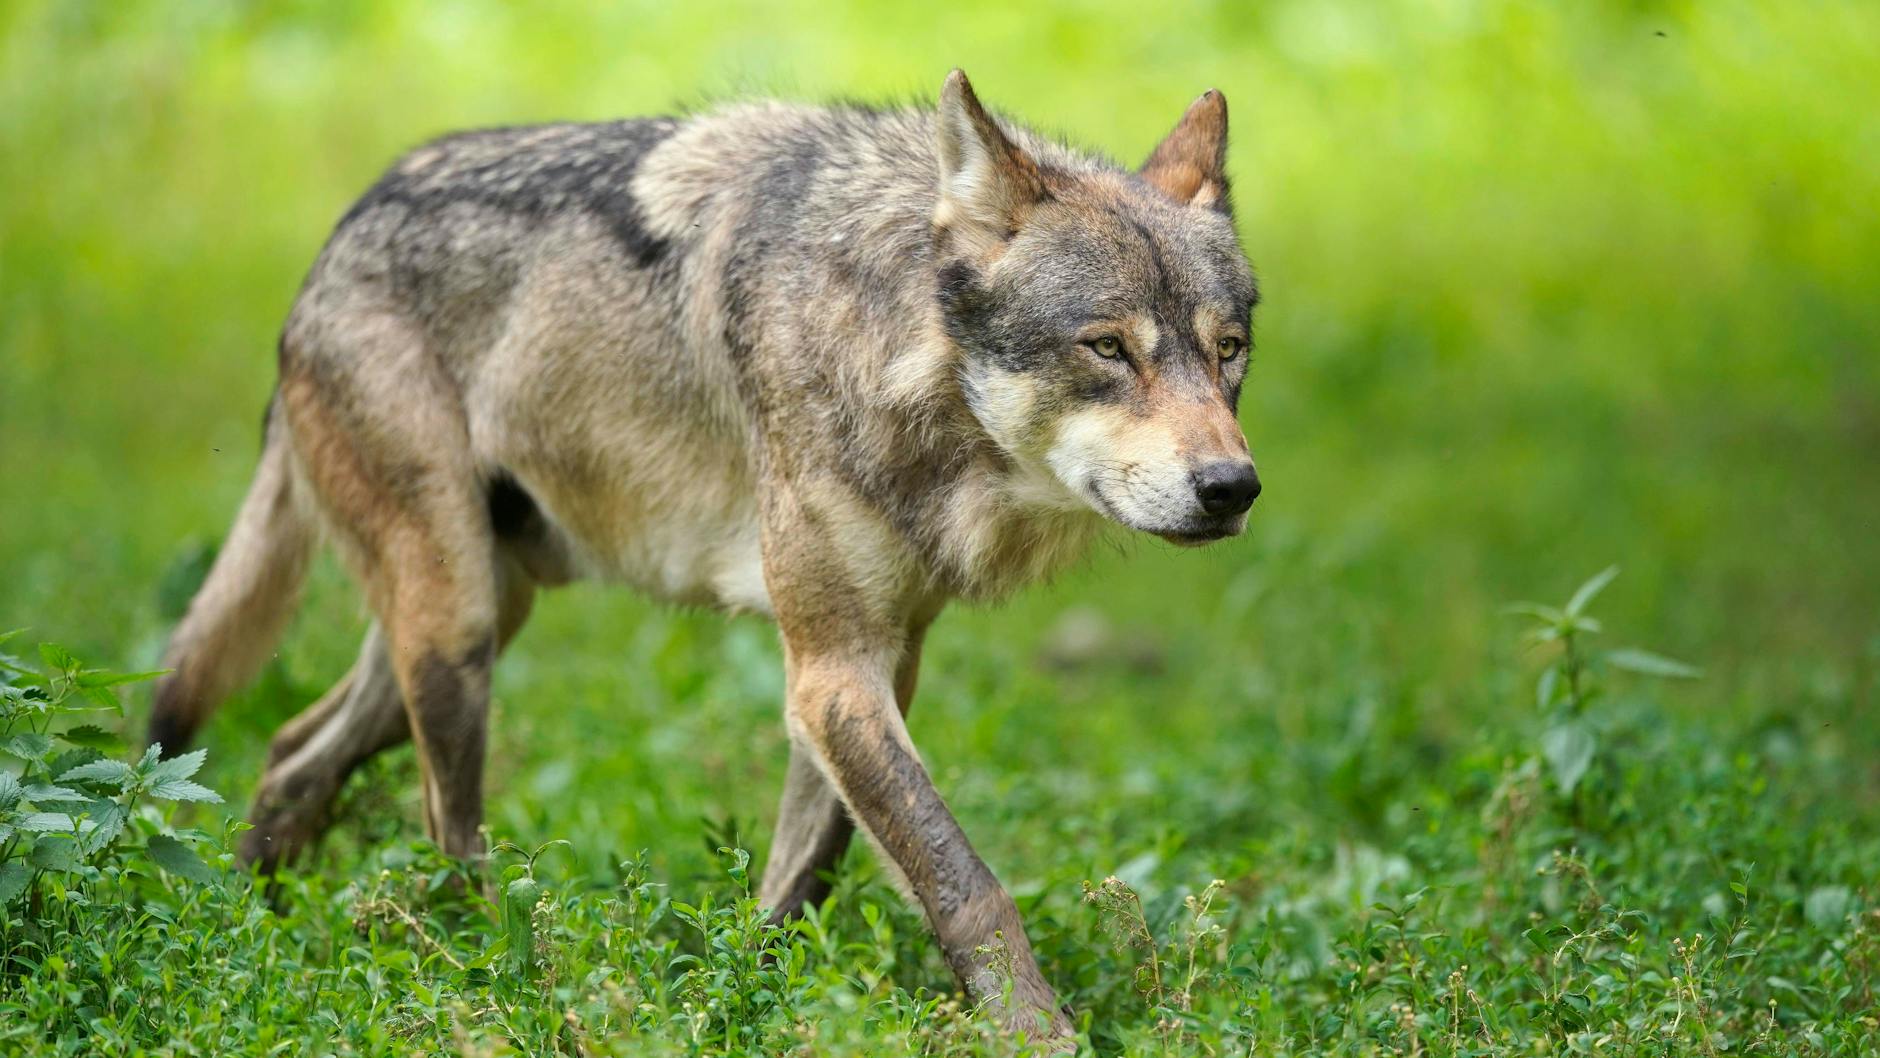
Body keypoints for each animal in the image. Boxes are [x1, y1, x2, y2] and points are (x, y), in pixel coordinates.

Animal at [147, 70, 1259, 1037]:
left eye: (1228, 350)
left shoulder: (871, 666)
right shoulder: (832, 673)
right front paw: (1038, 1034)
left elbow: (803, 879)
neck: (894, 353)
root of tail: (336, 239)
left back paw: (239, 921)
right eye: (1106, 347)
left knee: (290, 752)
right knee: (445, 837)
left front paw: (747, 1003)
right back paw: (485, 972)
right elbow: (966, 883)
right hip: (454, 633)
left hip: (468, 628)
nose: (1232, 488)